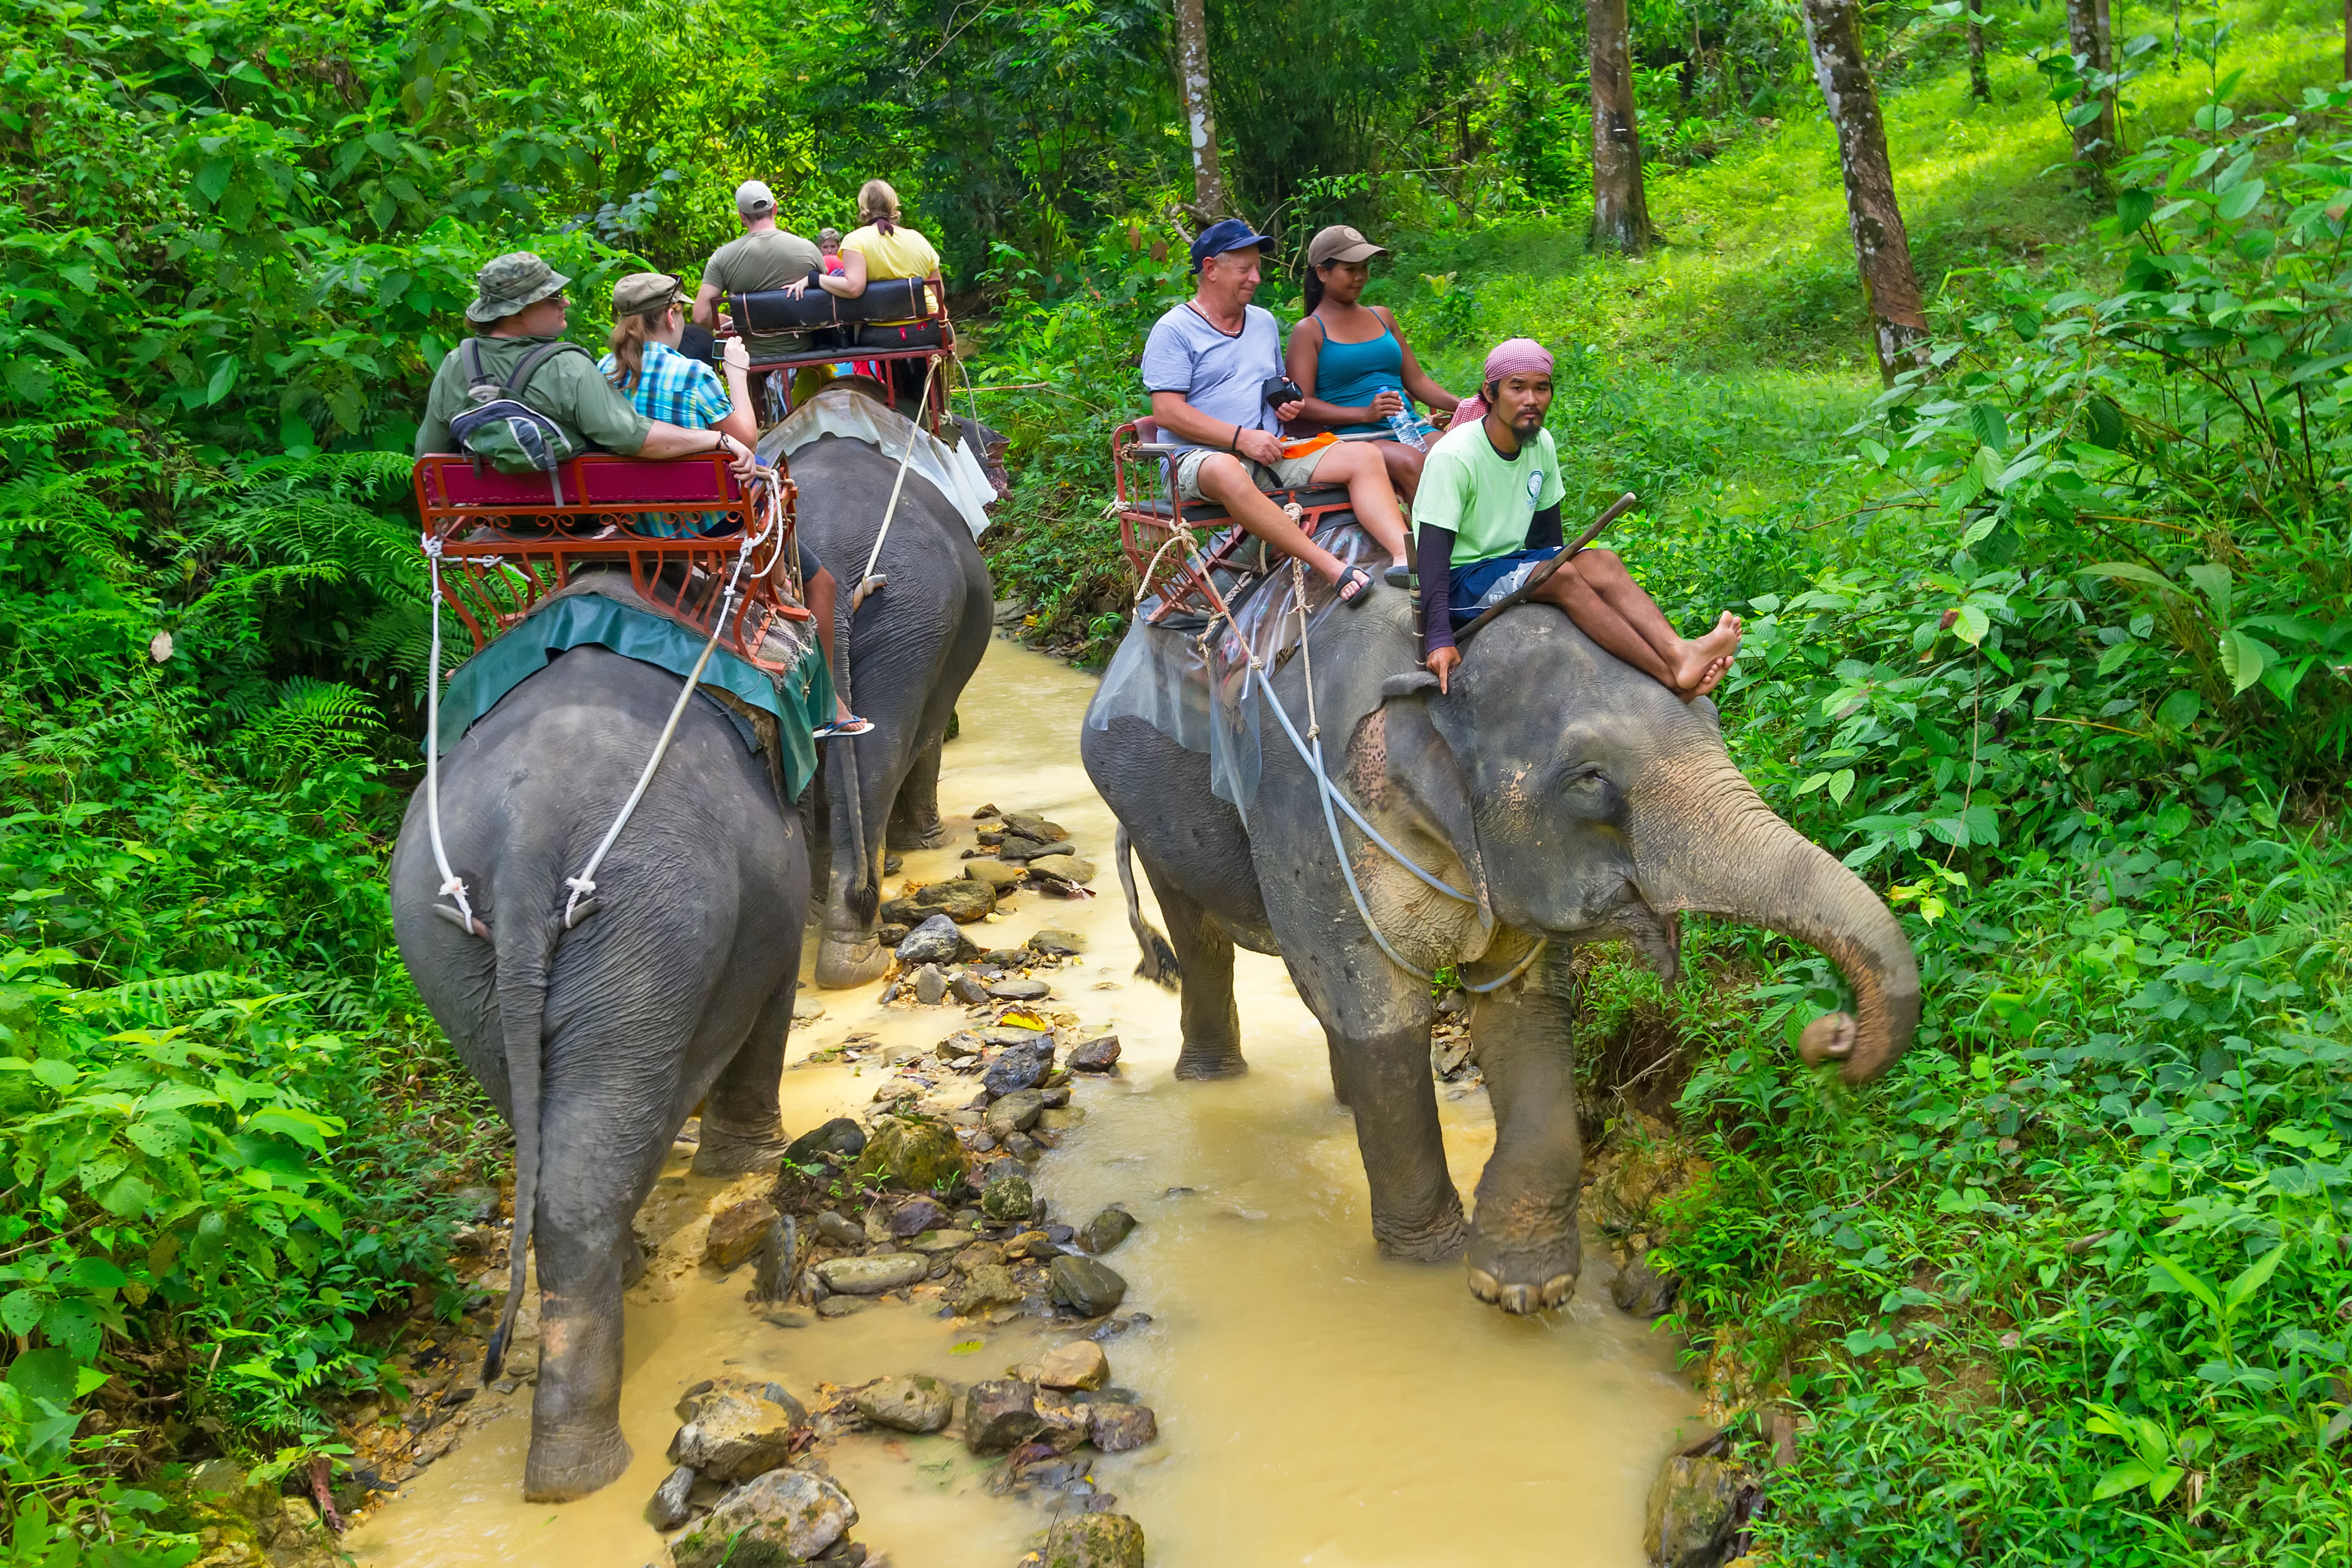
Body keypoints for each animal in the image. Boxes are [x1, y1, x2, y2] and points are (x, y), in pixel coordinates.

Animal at [389, 645, 808, 1499]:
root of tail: (527, 833)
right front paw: (752, 1163)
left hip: (455, 959)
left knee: (557, 1144)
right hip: (652, 925)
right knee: (590, 1169)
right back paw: (581, 1473)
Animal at [773, 401, 998, 987]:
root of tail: (830, 550)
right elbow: (932, 732)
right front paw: (929, 841)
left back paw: (828, 932)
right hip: (918, 611)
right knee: (887, 751)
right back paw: (857, 955)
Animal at [1082, 588, 1918, 1314]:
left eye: (1714, 718)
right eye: (1590, 779)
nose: (1833, 1036)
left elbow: (1523, 1010)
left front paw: (1522, 1288)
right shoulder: (1309, 818)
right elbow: (1379, 1013)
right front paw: (1426, 1266)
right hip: (1149, 807)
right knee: (1206, 942)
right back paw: (1211, 1079)